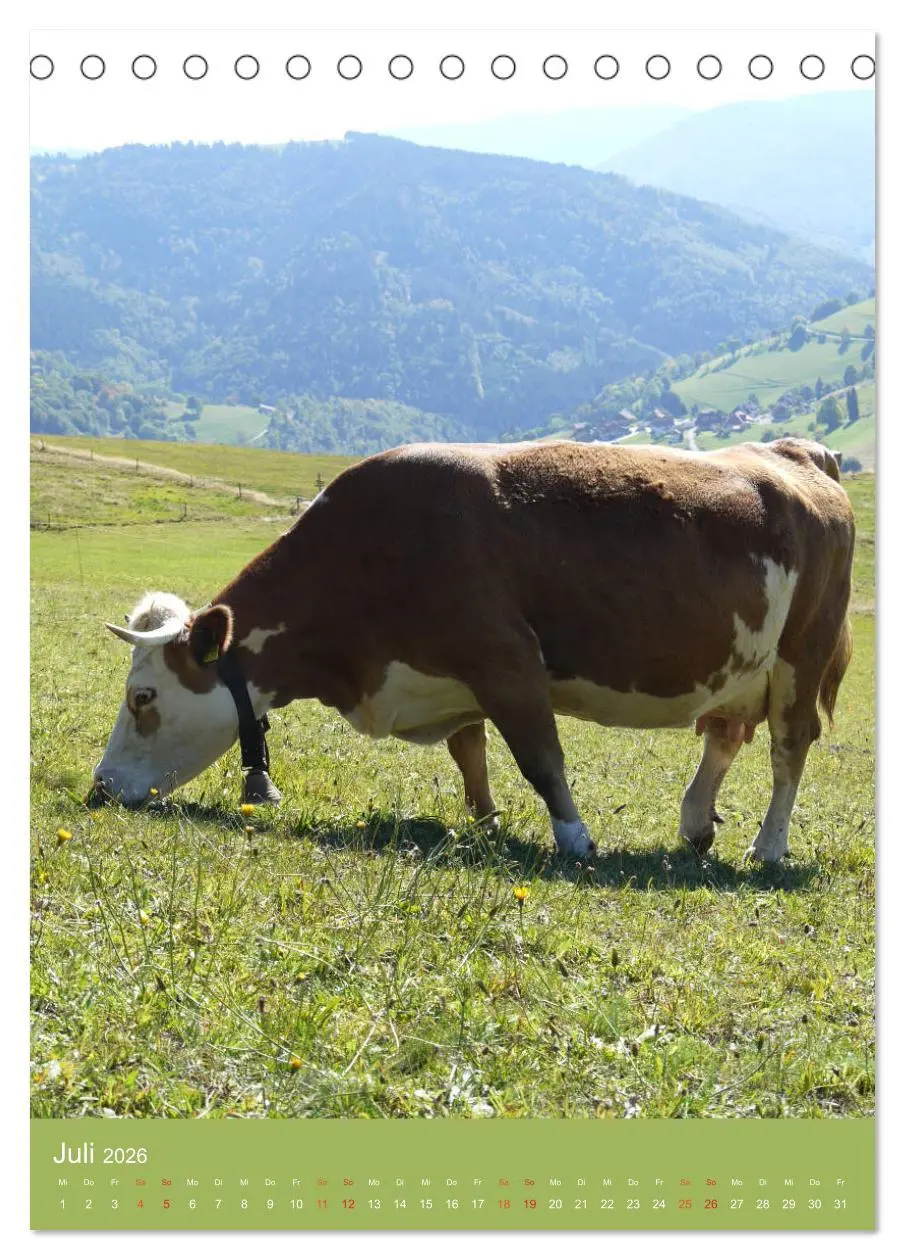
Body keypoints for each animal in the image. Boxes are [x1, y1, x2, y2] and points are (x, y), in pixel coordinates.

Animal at [89, 437, 854, 864]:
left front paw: (574, 839)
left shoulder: (506, 660)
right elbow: (470, 751)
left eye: (143, 697)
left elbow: (540, 757)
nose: (98, 788)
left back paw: (768, 846)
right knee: (724, 736)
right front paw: (485, 821)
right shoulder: (451, 676)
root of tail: (793, 454)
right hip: (742, 665)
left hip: (801, 657)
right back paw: (695, 823)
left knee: (788, 750)